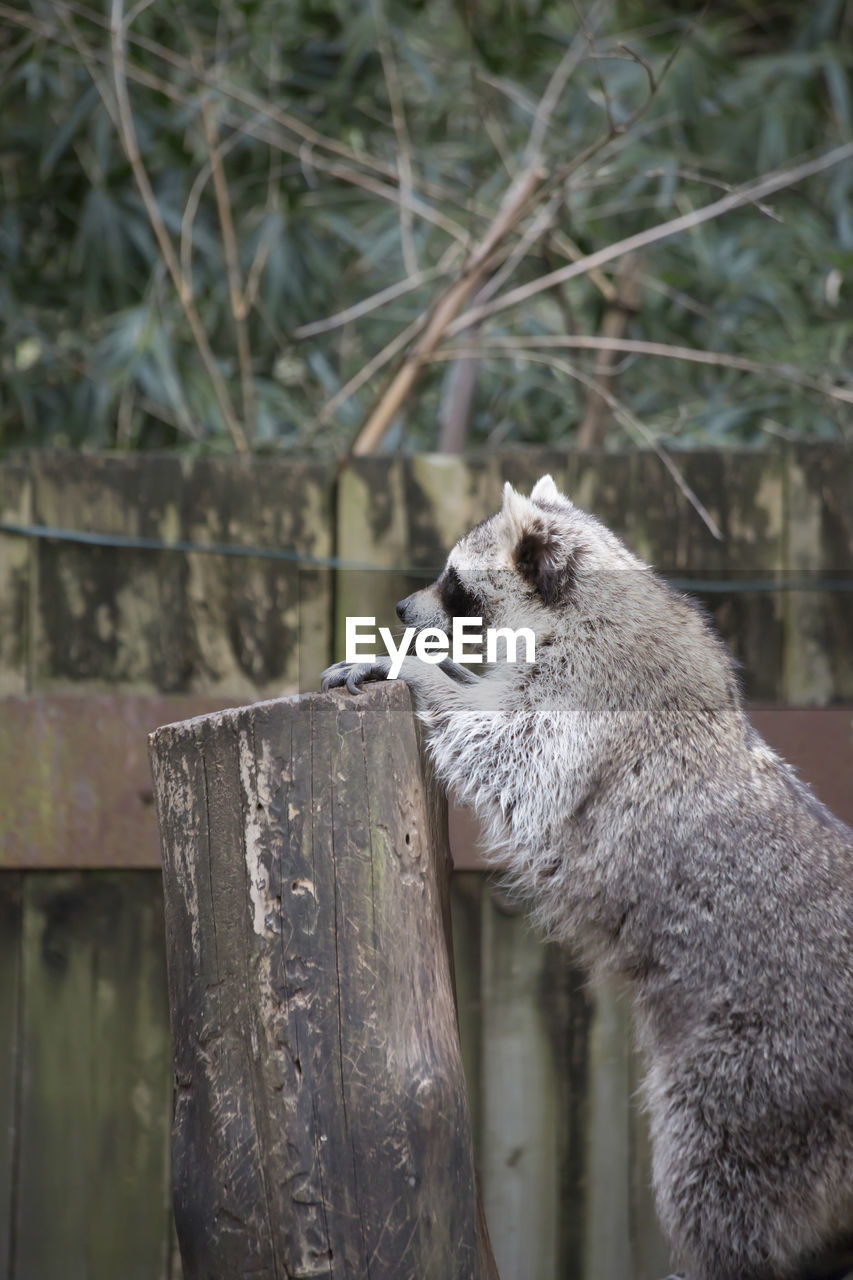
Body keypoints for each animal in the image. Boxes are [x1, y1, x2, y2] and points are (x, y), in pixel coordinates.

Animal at [320, 473, 850, 1280]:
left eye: (453, 580)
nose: (404, 610)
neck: (581, 605)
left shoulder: (593, 696)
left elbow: (515, 756)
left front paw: (414, 668)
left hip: (763, 1071)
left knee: (715, 1176)